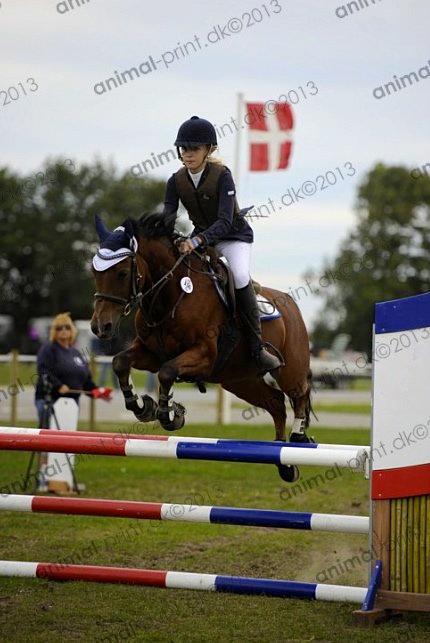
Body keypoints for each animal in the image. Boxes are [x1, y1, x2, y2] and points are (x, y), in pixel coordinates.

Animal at [90, 213, 313, 482]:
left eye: (122, 273)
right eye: (94, 272)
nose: (100, 327)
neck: (171, 296)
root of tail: (291, 304)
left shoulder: (204, 355)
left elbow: (167, 372)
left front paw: (169, 415)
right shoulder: (151, 353)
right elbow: (121, 362)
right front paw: (144, 407)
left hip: (288, 370)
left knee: (299, 395)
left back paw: (297, 439)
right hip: (240, 381)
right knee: (277, 404)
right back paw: (284, 462)